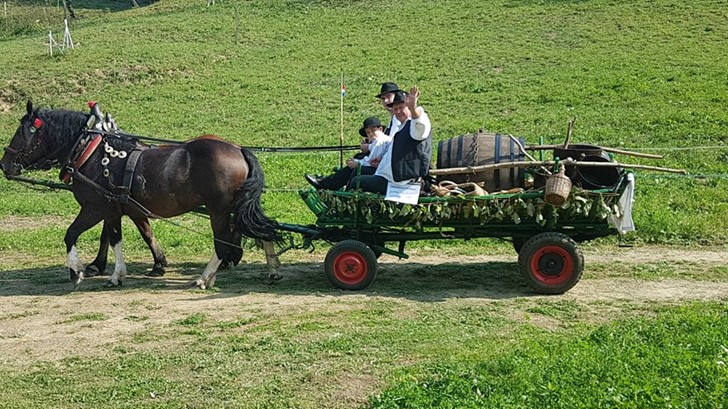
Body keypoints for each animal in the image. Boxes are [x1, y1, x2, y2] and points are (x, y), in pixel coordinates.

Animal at [0, 100, 282, 288]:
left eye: (20, 134)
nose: (4, 164)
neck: (90, 153)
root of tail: (238, 149)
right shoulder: (122, 209)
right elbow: (132, 235)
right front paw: (149, 265)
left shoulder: (96, 207)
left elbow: (75, 234)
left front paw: (81, 270)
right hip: (237, 206)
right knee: (260, 228)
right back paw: (271, 269)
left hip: (219, 210)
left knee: (222, 242)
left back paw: (205, 277)